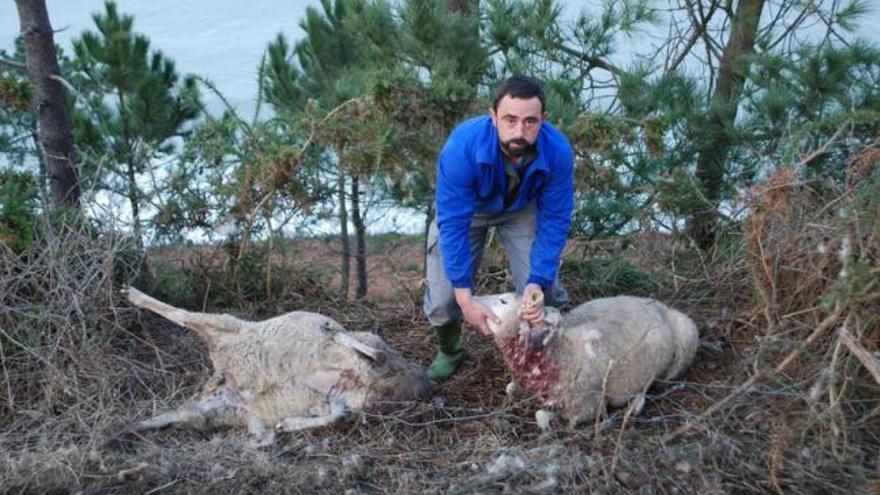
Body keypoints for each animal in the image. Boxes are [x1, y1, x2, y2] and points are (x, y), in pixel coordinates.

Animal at [125, 286, 434, 446]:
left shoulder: (226, 329)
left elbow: (181, 314)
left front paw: (133, 295)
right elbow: (164, 417)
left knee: (359, 346)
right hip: (348, 394)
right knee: (340, 410)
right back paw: (289, 424)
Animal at [478, 292, 696, 428]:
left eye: (503, 301)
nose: (475, 297)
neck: (559, 352)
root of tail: (665, 309)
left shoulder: (588, 406)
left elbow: (542, 416)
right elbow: (512, 390)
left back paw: (635, 405)